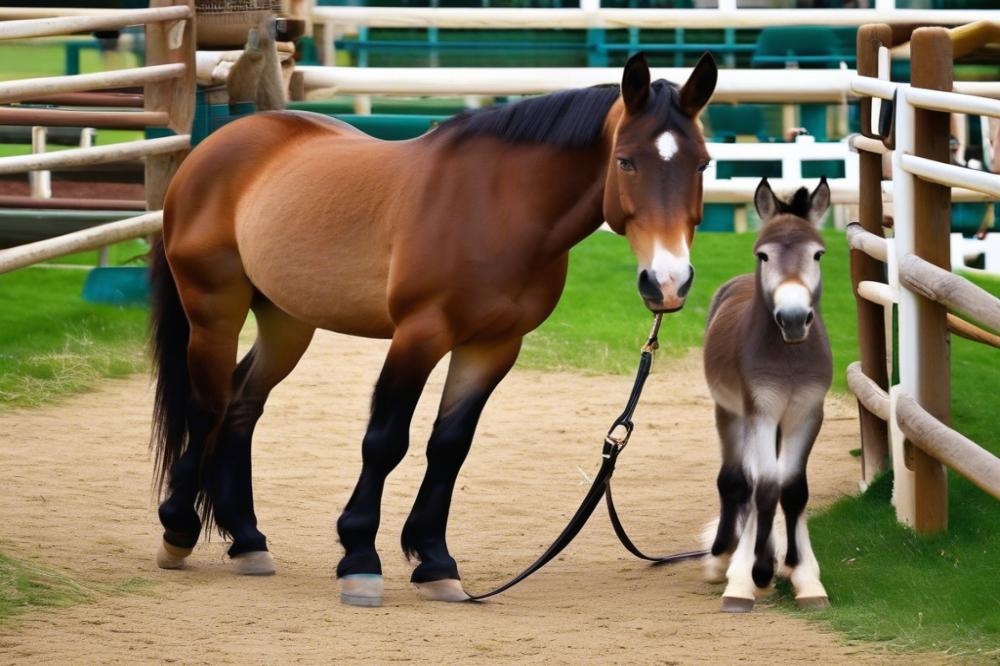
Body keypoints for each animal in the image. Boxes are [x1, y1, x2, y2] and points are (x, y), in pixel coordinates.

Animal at [150, 50, 720, 600]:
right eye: (626, 161)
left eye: (702, 164)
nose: (667, 282)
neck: (497, 209)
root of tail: (212, 147)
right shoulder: (419, 335)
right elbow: (385, 441)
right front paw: (360, 556)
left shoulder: (492, 346)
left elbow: (449, 446)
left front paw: (434, 561)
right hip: (214, 310)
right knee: (208, 406)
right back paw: (177, 530)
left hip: (287, 321)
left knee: (243, 404)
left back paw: (247, 539)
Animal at [704, 178, 836, 612]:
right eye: (763, 254)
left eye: (818, 254)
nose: (793, 318)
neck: (789, 355)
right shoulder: (759, 412)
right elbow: (763, 489)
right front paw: (755, 573)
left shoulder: (807, 414)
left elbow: (792, 489)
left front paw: (803, 574)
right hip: (729, 414)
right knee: (737, 480)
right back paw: (724, 560)